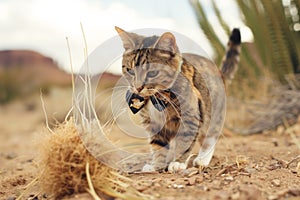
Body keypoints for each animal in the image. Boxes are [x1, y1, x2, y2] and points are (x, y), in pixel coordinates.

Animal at [115, 26, 241, 172]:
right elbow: (157, 144)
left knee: (210, 137)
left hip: (213, 114)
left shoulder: (191, 117)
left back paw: (202, 159)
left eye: (152, 73)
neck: (156, 97)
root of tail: (219, 73)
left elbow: (185, 140)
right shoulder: (152, 123)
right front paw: (156, 164)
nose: (138, 87)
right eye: (130, 71)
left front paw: (178, 162)